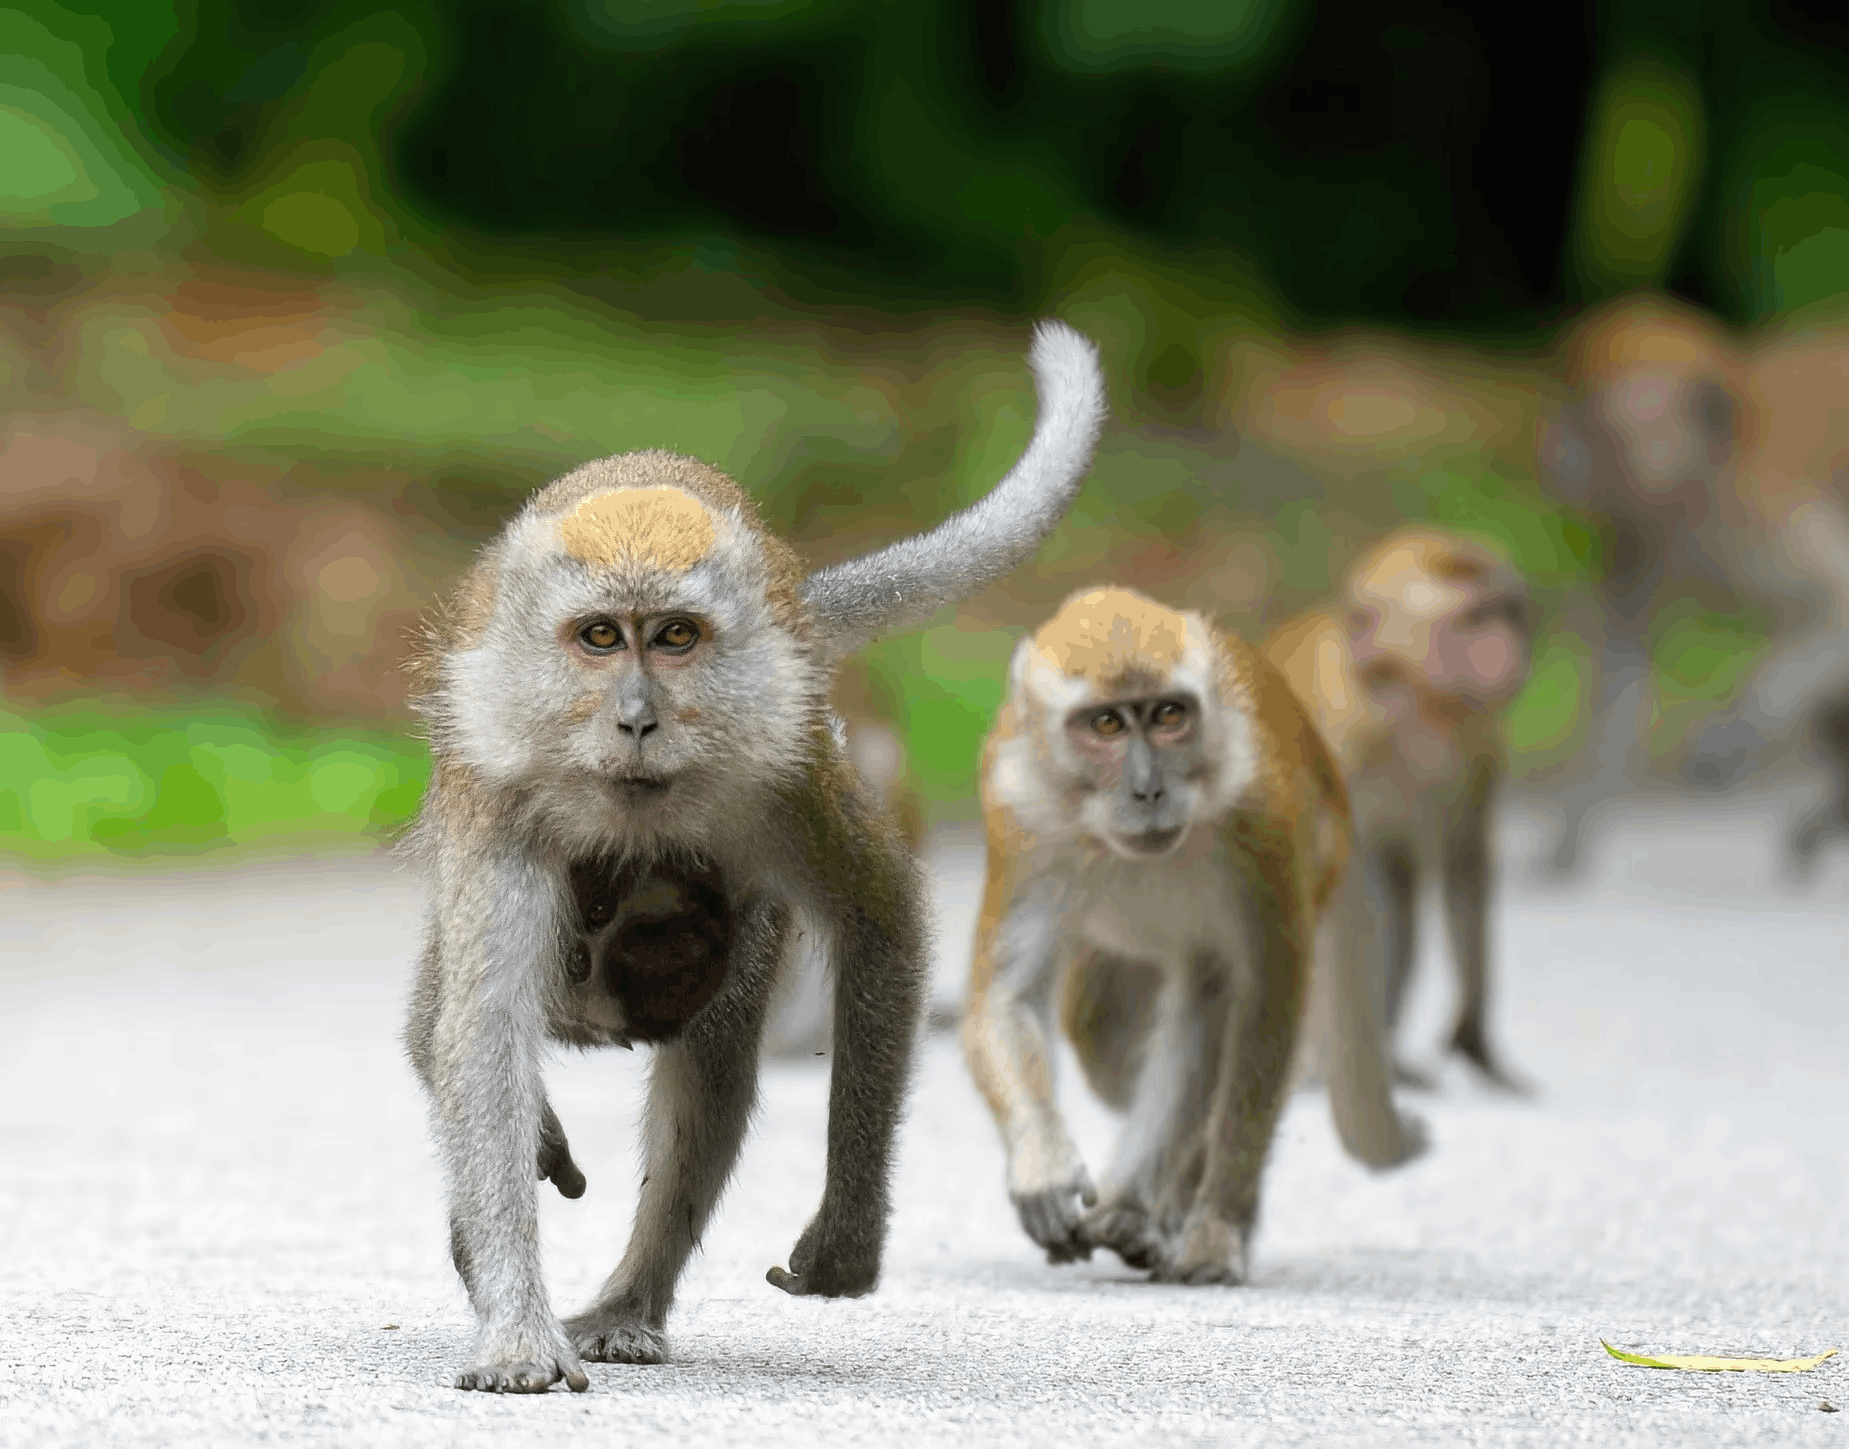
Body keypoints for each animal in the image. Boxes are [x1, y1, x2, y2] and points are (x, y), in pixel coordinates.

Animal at [401, 320, 1107, 1393]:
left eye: (676, 637)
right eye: (599, 638)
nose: (637, 718)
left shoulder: (784, 778)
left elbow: (878, 919)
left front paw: (847, 1232)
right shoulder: (499, 797)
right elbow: (482, 1028)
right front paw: (516, 1326)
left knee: (713, 1064)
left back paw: (628, 1303)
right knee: (447, 1018)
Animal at [962, 584, 1424, 1287]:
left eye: (1168, 714)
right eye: (1106, 724)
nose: (1148, 789)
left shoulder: (1260, 816)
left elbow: (1261, 1003)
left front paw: (1214, 1229)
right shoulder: (1020, 815)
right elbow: (1009, 999)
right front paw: (1043, 1169)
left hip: (1321, 853)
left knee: (1209, 1002)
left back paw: (1163, 1209)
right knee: (1106, 1041)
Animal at [1266, 527, 1533, 1092]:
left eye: (1507, 609)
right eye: (1473, 620)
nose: (1508, 646)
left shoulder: (1478, 739)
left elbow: (1465, 863)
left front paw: (1474, 1040)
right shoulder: (1333, 738)